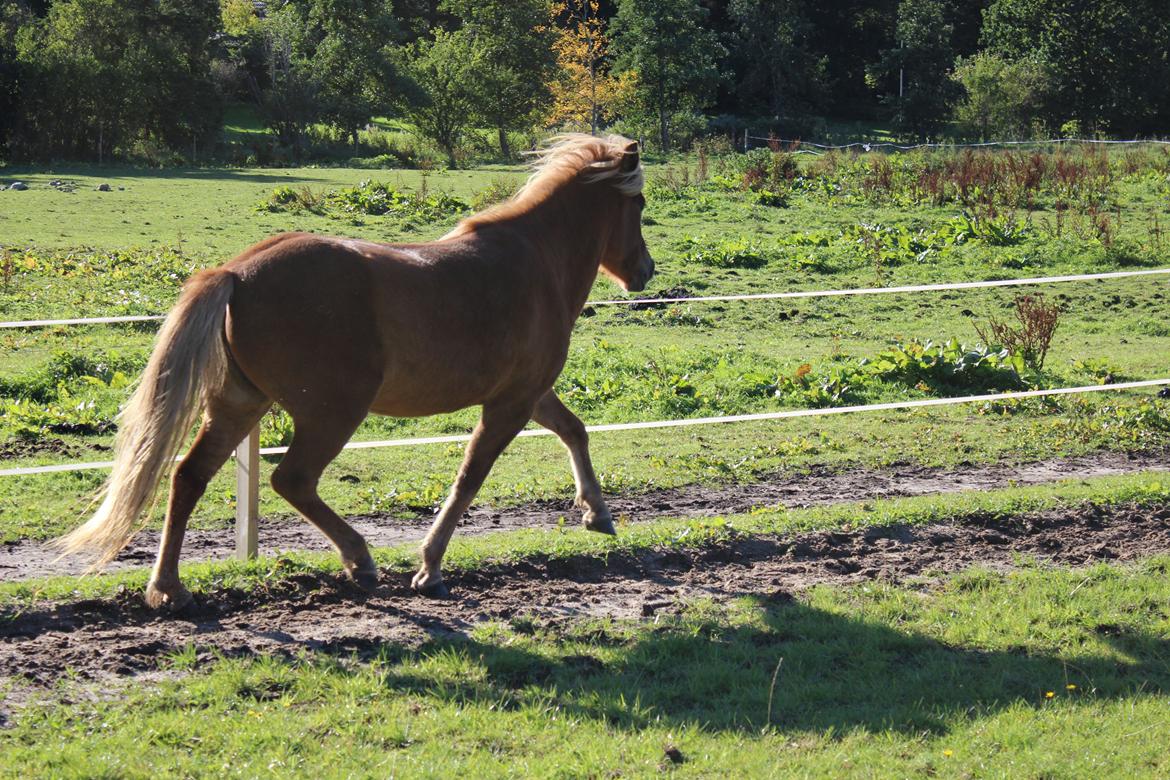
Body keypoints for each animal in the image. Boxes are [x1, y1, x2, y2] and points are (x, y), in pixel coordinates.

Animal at [54, 134, 655, 608]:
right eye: (641, 203)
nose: (646, 271)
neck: (535, 260)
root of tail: (236, 274)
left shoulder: (530, 392)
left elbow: (574, 430)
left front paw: (597, 515)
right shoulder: (509, 403)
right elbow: (469, 478)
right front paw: (429, 569)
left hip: (238, 406)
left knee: (188, 477)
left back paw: (169, 588)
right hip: (331, 412)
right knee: (291, 479)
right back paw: (360, 560)